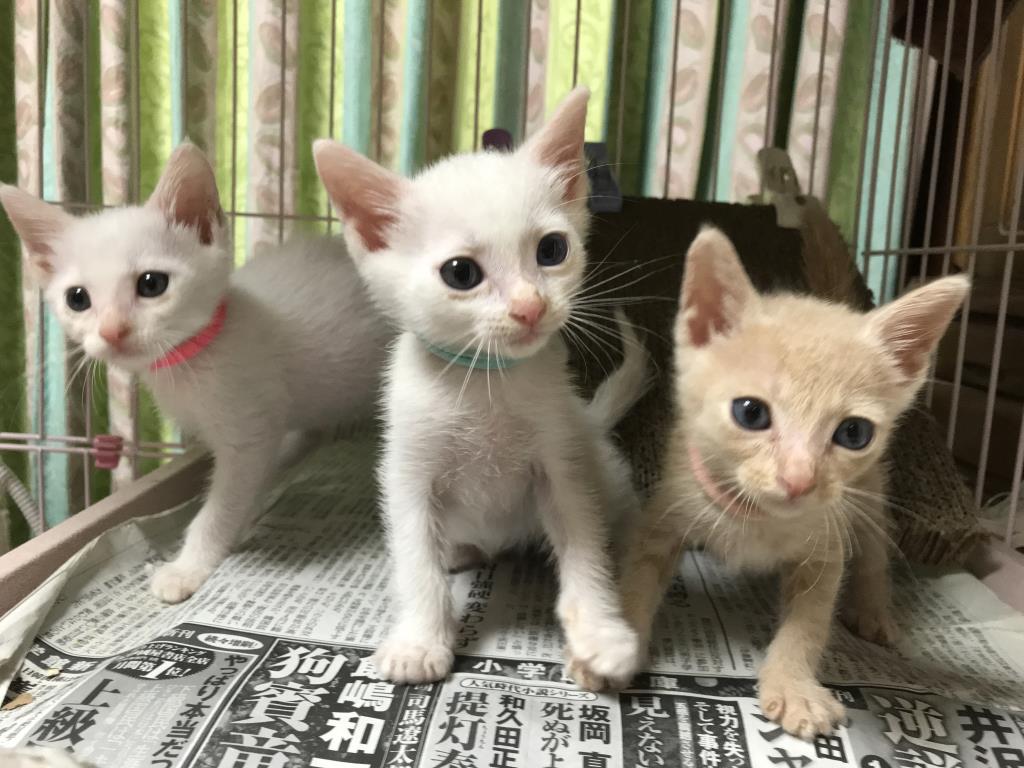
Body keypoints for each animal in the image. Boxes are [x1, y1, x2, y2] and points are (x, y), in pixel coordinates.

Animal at [1, 143, 390, 604]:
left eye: (152, 284)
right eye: (77, 298)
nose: (112, 331)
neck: (188, 360)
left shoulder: (248, 434)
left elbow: (220, 506)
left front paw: (187, 567)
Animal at [313, 87, 649, 687]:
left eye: (552, 250)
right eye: (461, 274)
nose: (530, 307)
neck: (485, 382)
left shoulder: (562, 464)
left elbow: (583, 547)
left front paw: (602, 634)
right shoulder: (407, 470)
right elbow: (415, 558)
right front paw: (420, 640)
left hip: (596, 460)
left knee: (618, 508)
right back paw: (460, 550)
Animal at [614, 227, 968, 738]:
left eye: (854, 433)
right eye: (750, 413)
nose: (799, 479)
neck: (758, 519)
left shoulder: (825, 547)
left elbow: (809, 624)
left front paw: (794, 686)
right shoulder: (668, 511)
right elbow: (637, 581)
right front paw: (612, 645)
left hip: (868, 490)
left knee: (875, 548)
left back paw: (873, 609)